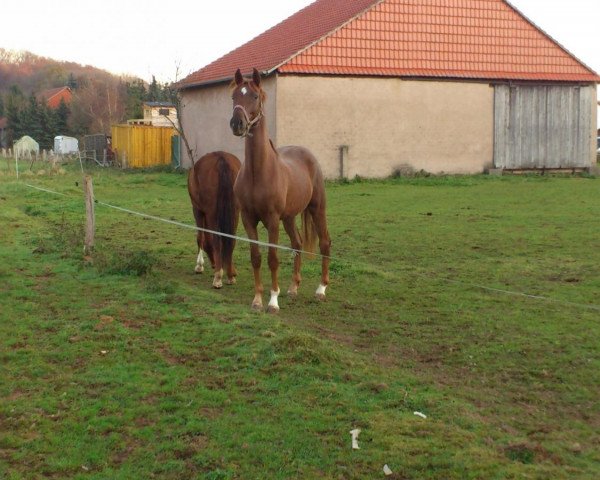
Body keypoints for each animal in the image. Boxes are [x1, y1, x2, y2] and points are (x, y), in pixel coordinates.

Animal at [189, 150, 243, 286]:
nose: (213, 264)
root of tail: (221, 159)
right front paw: (232, 270)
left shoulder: (198, 210)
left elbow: (201, 238)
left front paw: (199, 266)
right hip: (235, 211)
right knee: (231, 239)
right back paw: (229, 275)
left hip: (212, 213)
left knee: (216, 240)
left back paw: (218, 276)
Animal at [231, 69, 332, 314]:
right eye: (234, 96)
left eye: (255, 96)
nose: (237, 123)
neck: (258, 172)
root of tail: (308, 155)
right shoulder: (248, 219)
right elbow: (256, 257)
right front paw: (257, 300)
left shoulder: (272, 219)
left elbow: (273, 257)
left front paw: (273, 301)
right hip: (289, 217)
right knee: (297, 243)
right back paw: (294, 287)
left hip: (317, 209)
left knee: (325, 242)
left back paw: (321, 289)